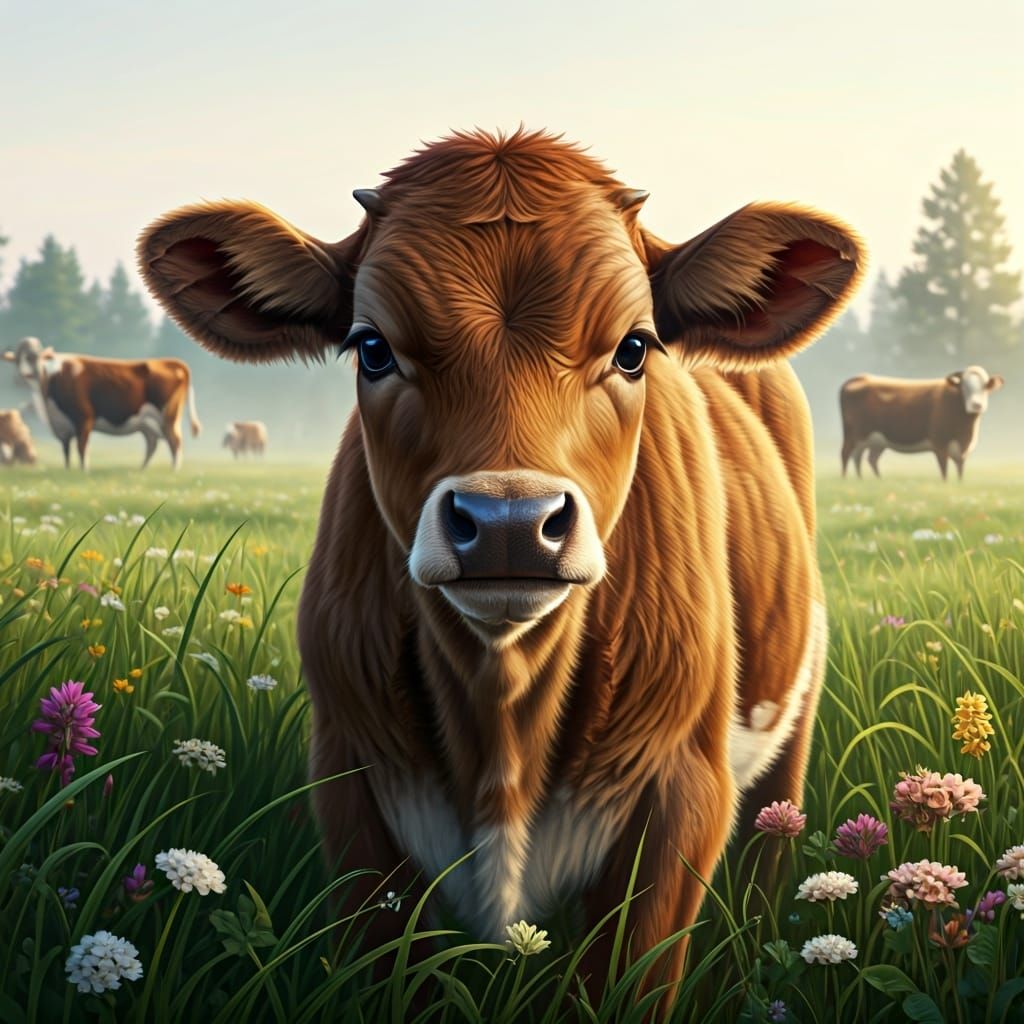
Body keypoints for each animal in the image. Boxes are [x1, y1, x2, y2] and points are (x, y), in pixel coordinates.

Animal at [1, 337, 202, 470]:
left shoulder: (84, 418)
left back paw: (173, 470)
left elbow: (82, 448)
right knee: (152, 443)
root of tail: (172, 362)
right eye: (19, 359)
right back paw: (142, 469)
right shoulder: (63, 428)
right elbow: (66, 451)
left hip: (168, 416)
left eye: (36, 358)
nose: (24, 375)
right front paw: (68, 470)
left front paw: (83, 471)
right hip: (147, 423)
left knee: (175, 441)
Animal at [138, 129, 864, 997]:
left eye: (633, 347)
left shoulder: (683, 792)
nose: (509, 524)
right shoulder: (352, 786)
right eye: (372, 348)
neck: (504, 707)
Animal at [840, 367, 1003, 480]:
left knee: (865, 458)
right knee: (846, 453)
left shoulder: (962, 449)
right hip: (853, 434)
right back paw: (845, 479)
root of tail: (858, 378)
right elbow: (944, 469)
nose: (976, 405)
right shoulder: (939, 442)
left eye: (985, 387)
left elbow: (960, 469)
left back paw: (869, 480)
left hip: (874, 441)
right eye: (965, 387)